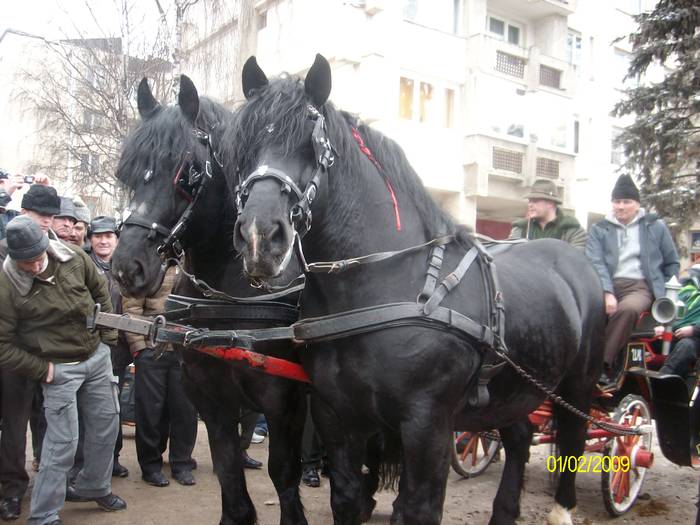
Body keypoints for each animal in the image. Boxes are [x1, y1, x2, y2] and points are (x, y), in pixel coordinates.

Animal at [113, 74, 308, 524]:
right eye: (126, 171)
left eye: (186, 173)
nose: (127, 267)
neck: (232, 296)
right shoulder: (210, 399)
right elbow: (229, 473)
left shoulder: (283, 403)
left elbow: (284, 475)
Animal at [227, 54, 604, 524]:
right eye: (241, 146)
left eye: (313, 144)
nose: (259, 237)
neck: (380, 287)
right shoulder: (337, 418)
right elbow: (347, 498)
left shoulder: (427, 425)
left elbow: (418, 507)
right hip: (513, 389)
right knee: (519, 437)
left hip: (576, 385)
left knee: (572, 439)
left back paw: (561, 509)